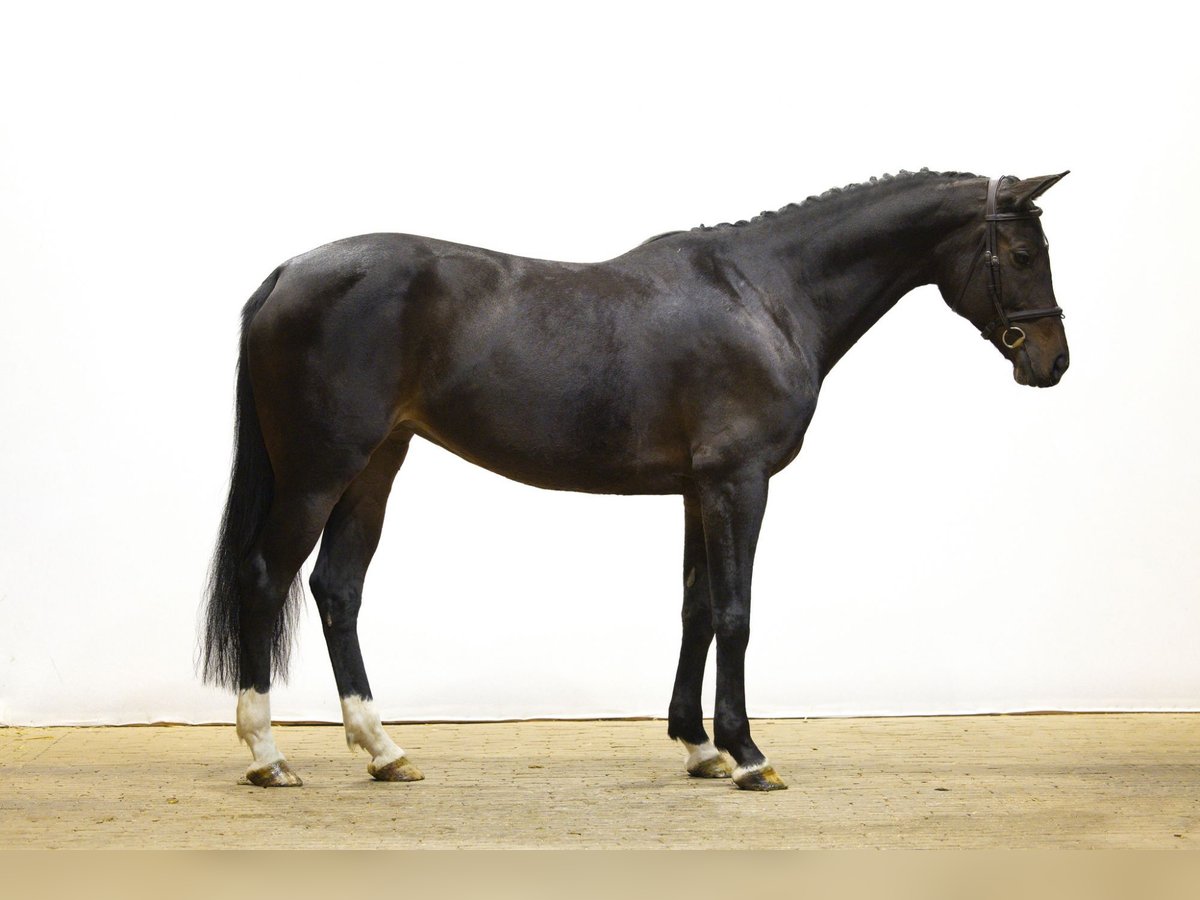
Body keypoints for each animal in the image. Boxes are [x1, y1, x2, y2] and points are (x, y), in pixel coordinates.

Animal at [201, 168, 1070, 790]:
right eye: (1025, 255)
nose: (1052, 362)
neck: (765, 295)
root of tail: (286, 274)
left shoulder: (697, 491)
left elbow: (696, 610)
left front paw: (697, 748)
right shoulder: (738, 484)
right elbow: (735, 613)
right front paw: (748, 754)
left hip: (377, 463)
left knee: (337, 588)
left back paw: (384, 751)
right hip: (320, 469)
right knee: (267, 575)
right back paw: (268, 755)